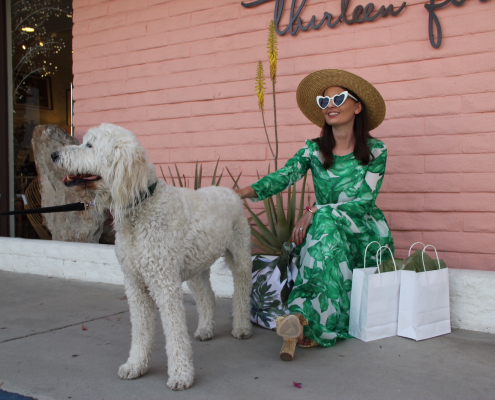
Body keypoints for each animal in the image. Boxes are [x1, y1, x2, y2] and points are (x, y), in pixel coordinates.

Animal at [50, 122, 254, 390]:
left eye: (90, 145)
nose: (54, 155)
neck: (141, 207)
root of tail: (231, 192)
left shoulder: (164, 283)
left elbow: (175, 332)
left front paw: (181, 375)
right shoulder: (134, 283)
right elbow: (140, 329)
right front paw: (135, 365)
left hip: (240, 256)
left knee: (241, 293)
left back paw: (241, 327)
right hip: (197, 267)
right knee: (207, 297)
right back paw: (205, 329)